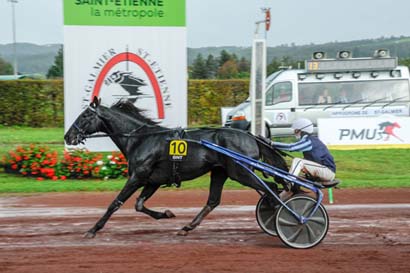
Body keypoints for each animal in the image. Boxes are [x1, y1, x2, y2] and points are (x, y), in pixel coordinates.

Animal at [65, 96, 288, 237]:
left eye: (85, 115)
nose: (68, 136)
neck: (140, 139)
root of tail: (250, 135)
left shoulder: (138, 176)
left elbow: (115, 203)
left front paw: (93, 229)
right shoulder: (152, 180)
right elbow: (139, 205)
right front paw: (166, 214)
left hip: (240, 172)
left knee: (271, 188)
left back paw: (282, 218)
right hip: (221, 172)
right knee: (213, 201)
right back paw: (187, 227)